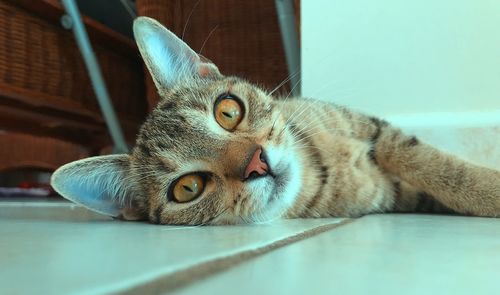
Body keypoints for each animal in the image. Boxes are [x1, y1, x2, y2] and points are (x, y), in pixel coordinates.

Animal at [49, 17, 500, 225]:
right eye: (187, 188)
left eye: (227, 111)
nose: (256, 162)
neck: (322, 169)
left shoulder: (375, 128)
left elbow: (437, 165)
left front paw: (487, 186)